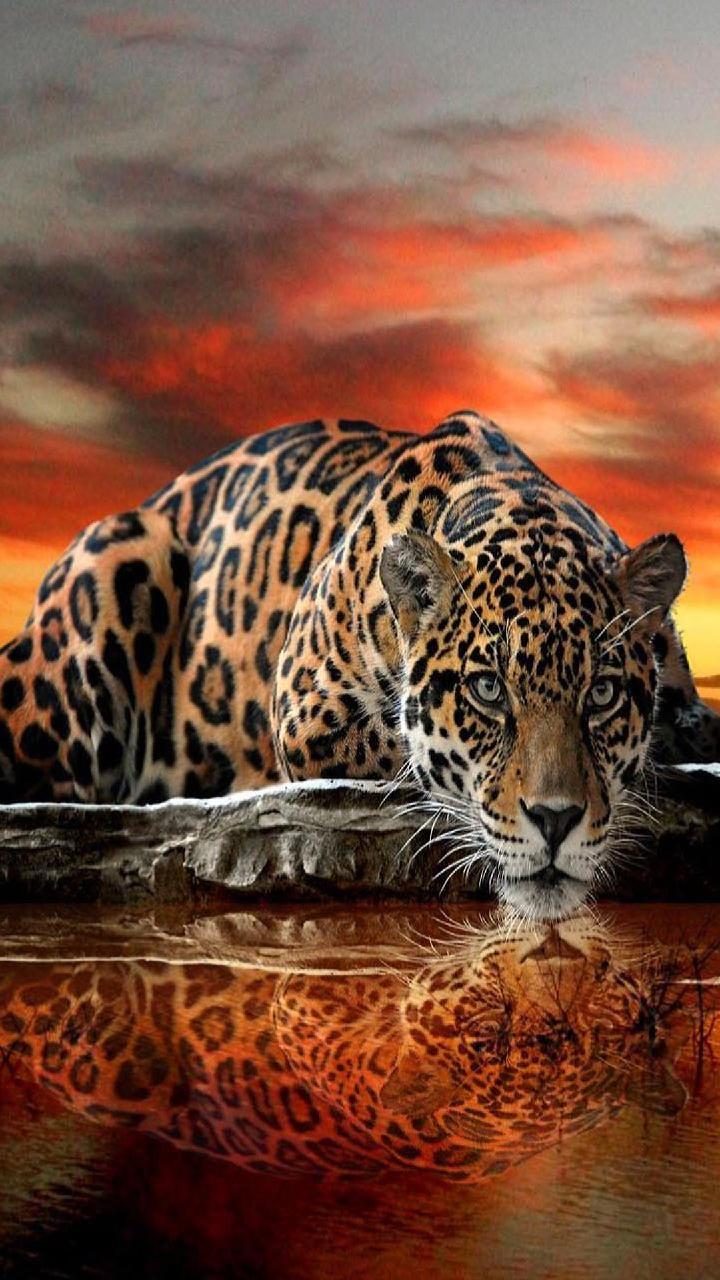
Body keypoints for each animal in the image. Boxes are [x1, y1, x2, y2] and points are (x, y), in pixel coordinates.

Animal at [0, 409, 718, 919]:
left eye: (601, 695)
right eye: (488, 690)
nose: (556, 821)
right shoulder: (308, 715)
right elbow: (409, 748)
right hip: (119, 557)